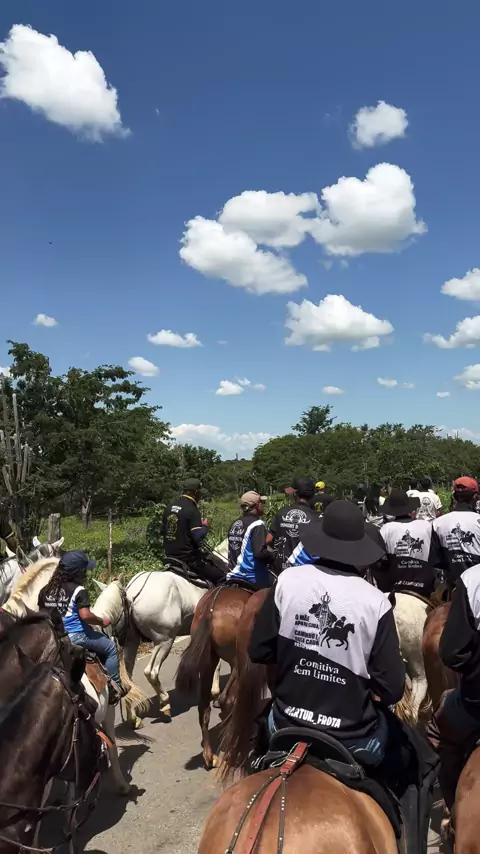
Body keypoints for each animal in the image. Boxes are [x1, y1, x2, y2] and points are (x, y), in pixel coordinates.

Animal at [91, 541, 229, 728]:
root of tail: (132, 593)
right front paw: (214, 691)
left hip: (132, 642)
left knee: (129, 677)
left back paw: (133, 717)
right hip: (164, 641)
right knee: (151, 672)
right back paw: (165, 704)